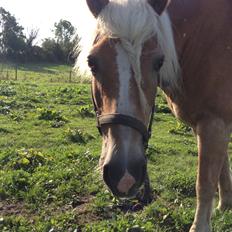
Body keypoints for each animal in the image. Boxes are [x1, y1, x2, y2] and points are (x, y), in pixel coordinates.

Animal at [79, 0, 232, 231]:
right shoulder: (209, 126)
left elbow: (205, 183)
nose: (125, 173)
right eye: (92, 63)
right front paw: (225, 206)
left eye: (159, 62)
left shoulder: (215, 123)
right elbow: (222, 168)